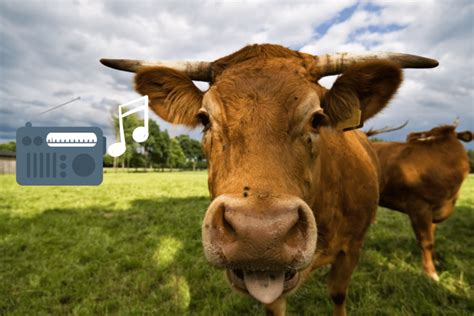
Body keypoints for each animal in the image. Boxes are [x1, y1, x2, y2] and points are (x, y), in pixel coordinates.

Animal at [366, 123, 470, 282]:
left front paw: (435, 261)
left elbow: (432, 237)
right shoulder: (419, 206)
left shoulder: (434, 211)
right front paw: (430, 273)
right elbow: (426, 241)